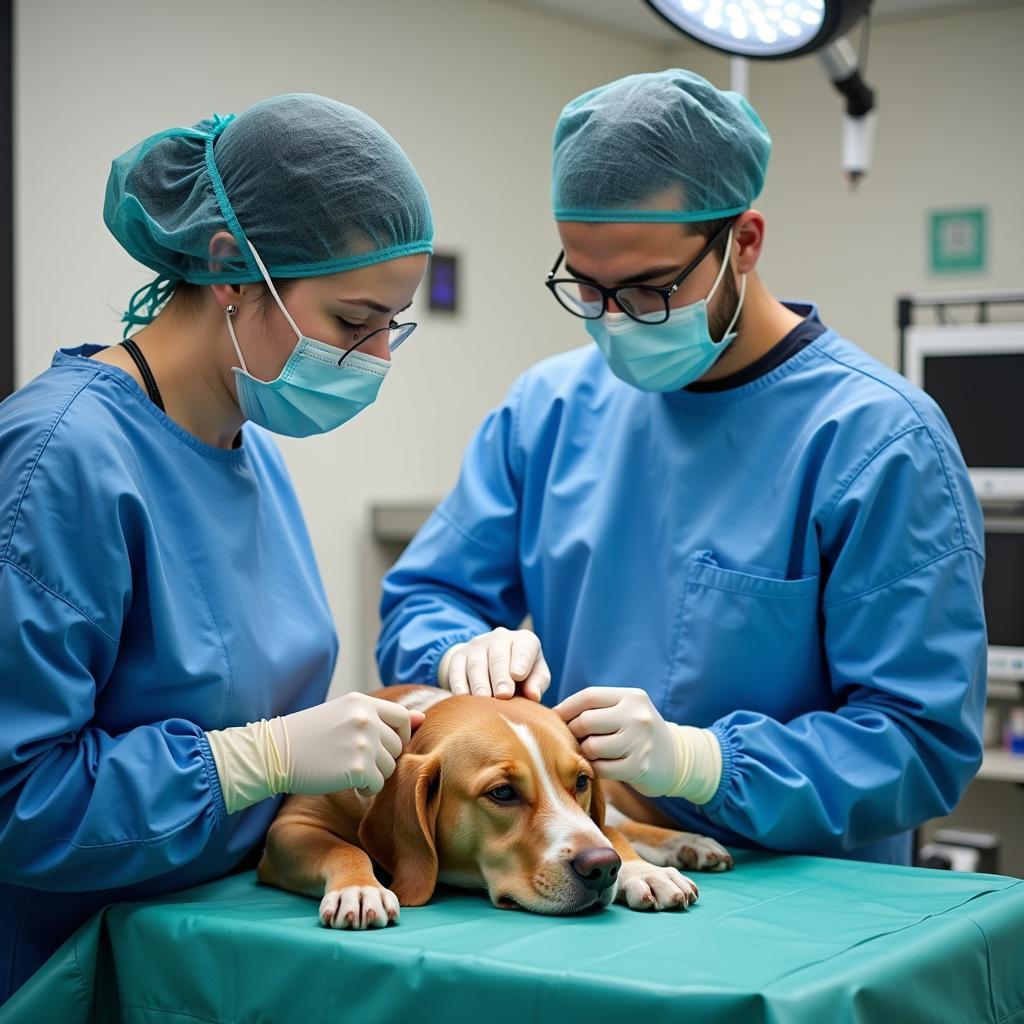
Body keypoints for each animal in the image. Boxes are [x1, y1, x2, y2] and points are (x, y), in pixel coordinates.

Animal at [260, 684, 733, 933]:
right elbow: (345, 848)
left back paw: (685, 844)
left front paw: (644, 872)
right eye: (503, 793)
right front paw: (359, 888)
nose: (602, 868)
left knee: (620, 825)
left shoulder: (594, 820)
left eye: (581, 782)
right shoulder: (287, 831)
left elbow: (610, 832)